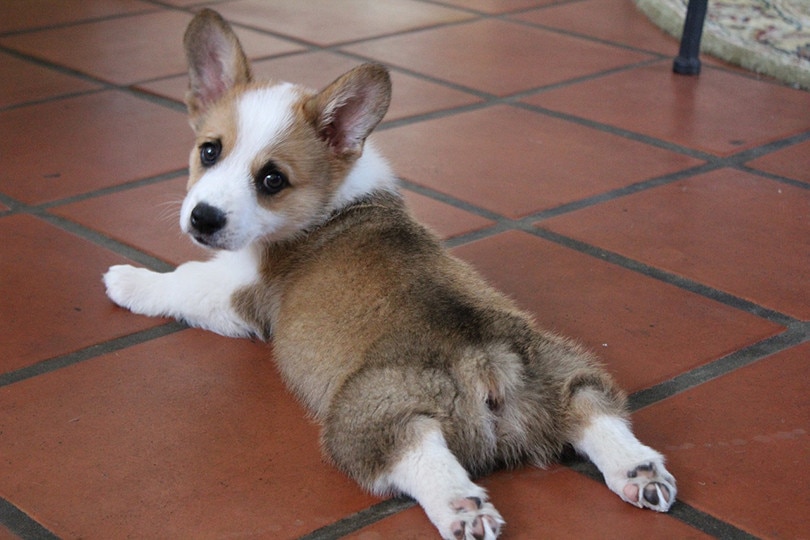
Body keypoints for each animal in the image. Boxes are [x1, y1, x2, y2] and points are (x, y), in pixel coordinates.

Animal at [105, 9, 676, 540]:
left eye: (272, 180)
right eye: (209, 151)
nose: (203, 219)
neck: (333, 196)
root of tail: (483, 360)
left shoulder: (238, 294)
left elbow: (183, 280)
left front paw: (127, 280)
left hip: (368, 416)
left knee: (416, 453)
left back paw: (463, 507)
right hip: (566, 370)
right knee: (593, 408)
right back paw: (640, 472)